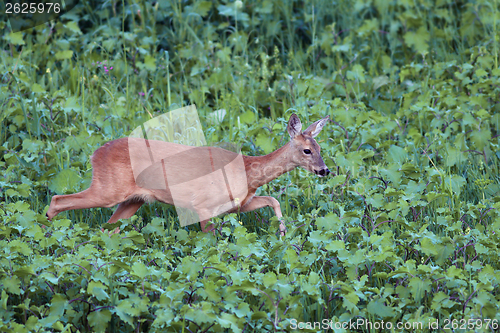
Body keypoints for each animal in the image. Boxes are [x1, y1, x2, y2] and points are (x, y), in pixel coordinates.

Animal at [46, 113, 328, 235]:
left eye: (320, 148)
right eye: (306, 150)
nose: (324, 170)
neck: (247, 172)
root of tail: (95, 153)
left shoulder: (239, 204)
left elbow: (273, 200)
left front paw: (282, 232)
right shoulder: (203, 204)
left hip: (132, 200)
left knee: (108, 229)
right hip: (108, 190)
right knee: (58, 199)